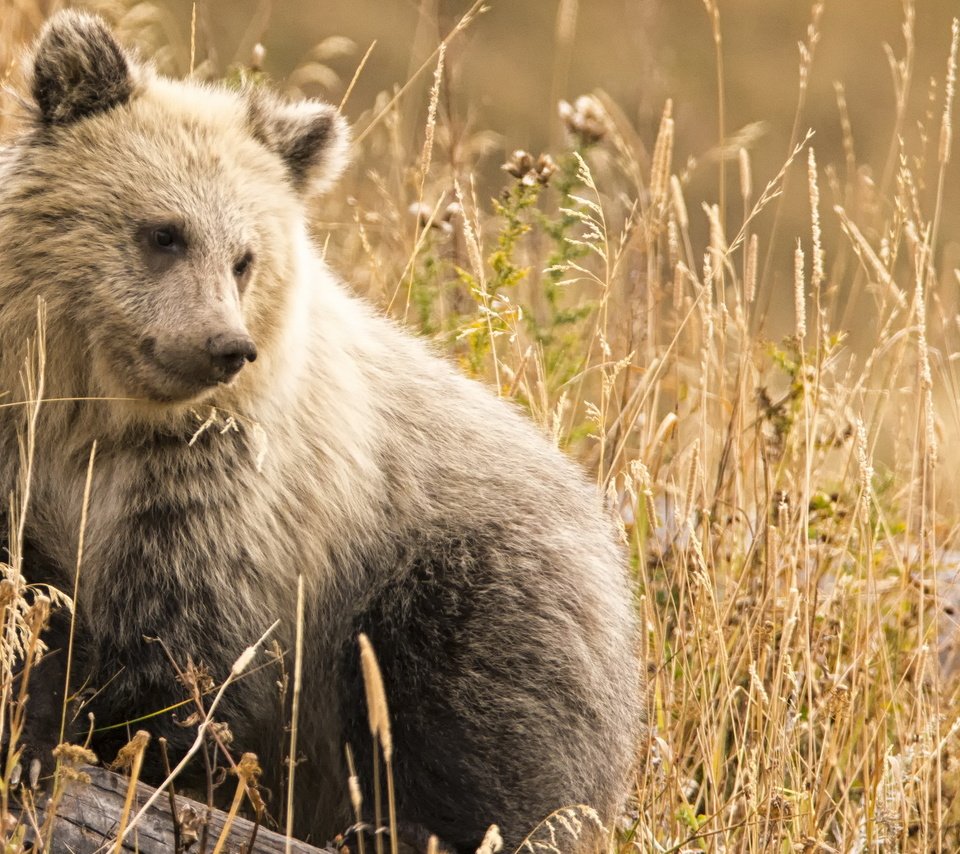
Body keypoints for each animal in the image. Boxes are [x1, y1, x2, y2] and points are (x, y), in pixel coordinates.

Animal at [1, 11, 644, 854]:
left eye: (245, 257)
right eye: (164, 232)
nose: (224, 346)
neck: (96, 416)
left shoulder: (224, 498)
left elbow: (181, 655)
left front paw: (79, 739)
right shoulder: (22, 453)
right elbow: (31, 597)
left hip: (466, 590)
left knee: (477, 738)